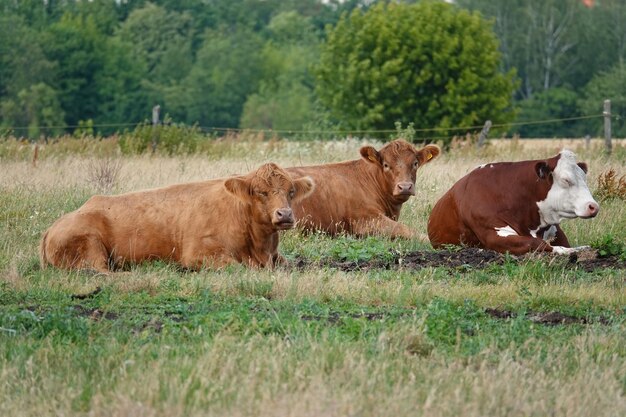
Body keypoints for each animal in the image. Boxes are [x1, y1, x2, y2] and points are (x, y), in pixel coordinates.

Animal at [39, 161, 312, 272]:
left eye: (291, 191)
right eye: (260, 192)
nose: (284, 214)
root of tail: (52, 227)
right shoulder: (199, 254)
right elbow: (237, 267)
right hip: (90, 248)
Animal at [426, 150, 596, 254]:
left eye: (584, 177)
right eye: (566, 180)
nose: (593, 206)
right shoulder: (494, 234)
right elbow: (537, 244)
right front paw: (568, 251)